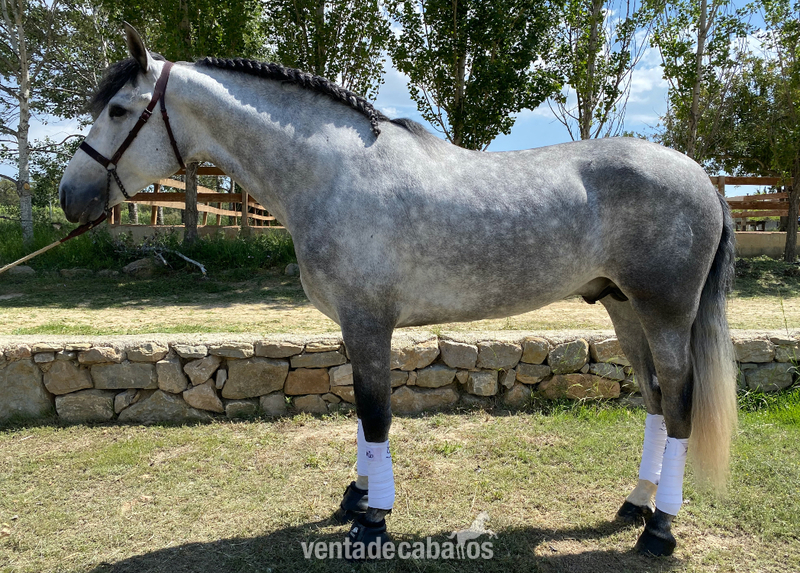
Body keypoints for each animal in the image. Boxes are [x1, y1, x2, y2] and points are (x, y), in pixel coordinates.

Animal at [59, 24, 738, 558]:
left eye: (118, 110)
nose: (69, 197)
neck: (333, 174)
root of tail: (701, 177)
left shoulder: (368, 320)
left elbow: (375, 414)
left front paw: (374, 520)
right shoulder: (353, 324)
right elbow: (362, 415)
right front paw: (355, 500)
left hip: (665, 313)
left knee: (679, 405)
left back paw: (659, 531)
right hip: (625, 309)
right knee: (654, 401)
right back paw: (636, 504)